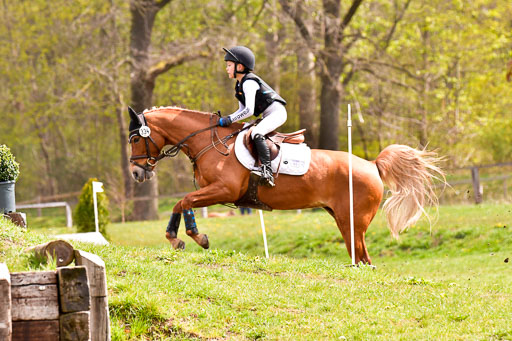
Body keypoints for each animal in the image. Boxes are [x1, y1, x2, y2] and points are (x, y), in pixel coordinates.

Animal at [128, 105, 444, 262]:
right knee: (361, 257)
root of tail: (372, 164)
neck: (210, 143)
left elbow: (185, 201)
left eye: (134, 138)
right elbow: (182, 202)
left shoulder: (223, 190)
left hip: (352, 222)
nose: (136, 173)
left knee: (362, 257)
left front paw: (194, 237)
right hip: (344, 221)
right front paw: (178, 237)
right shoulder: (212, 192)